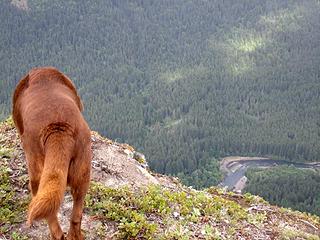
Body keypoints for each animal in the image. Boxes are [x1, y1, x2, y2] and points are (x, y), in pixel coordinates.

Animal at [12, 67, 91, 240]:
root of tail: (58, 128)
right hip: (83, 172)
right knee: (76, 214)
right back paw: (75, 235)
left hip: (36, 171)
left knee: (47, 212)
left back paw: (56, 234)